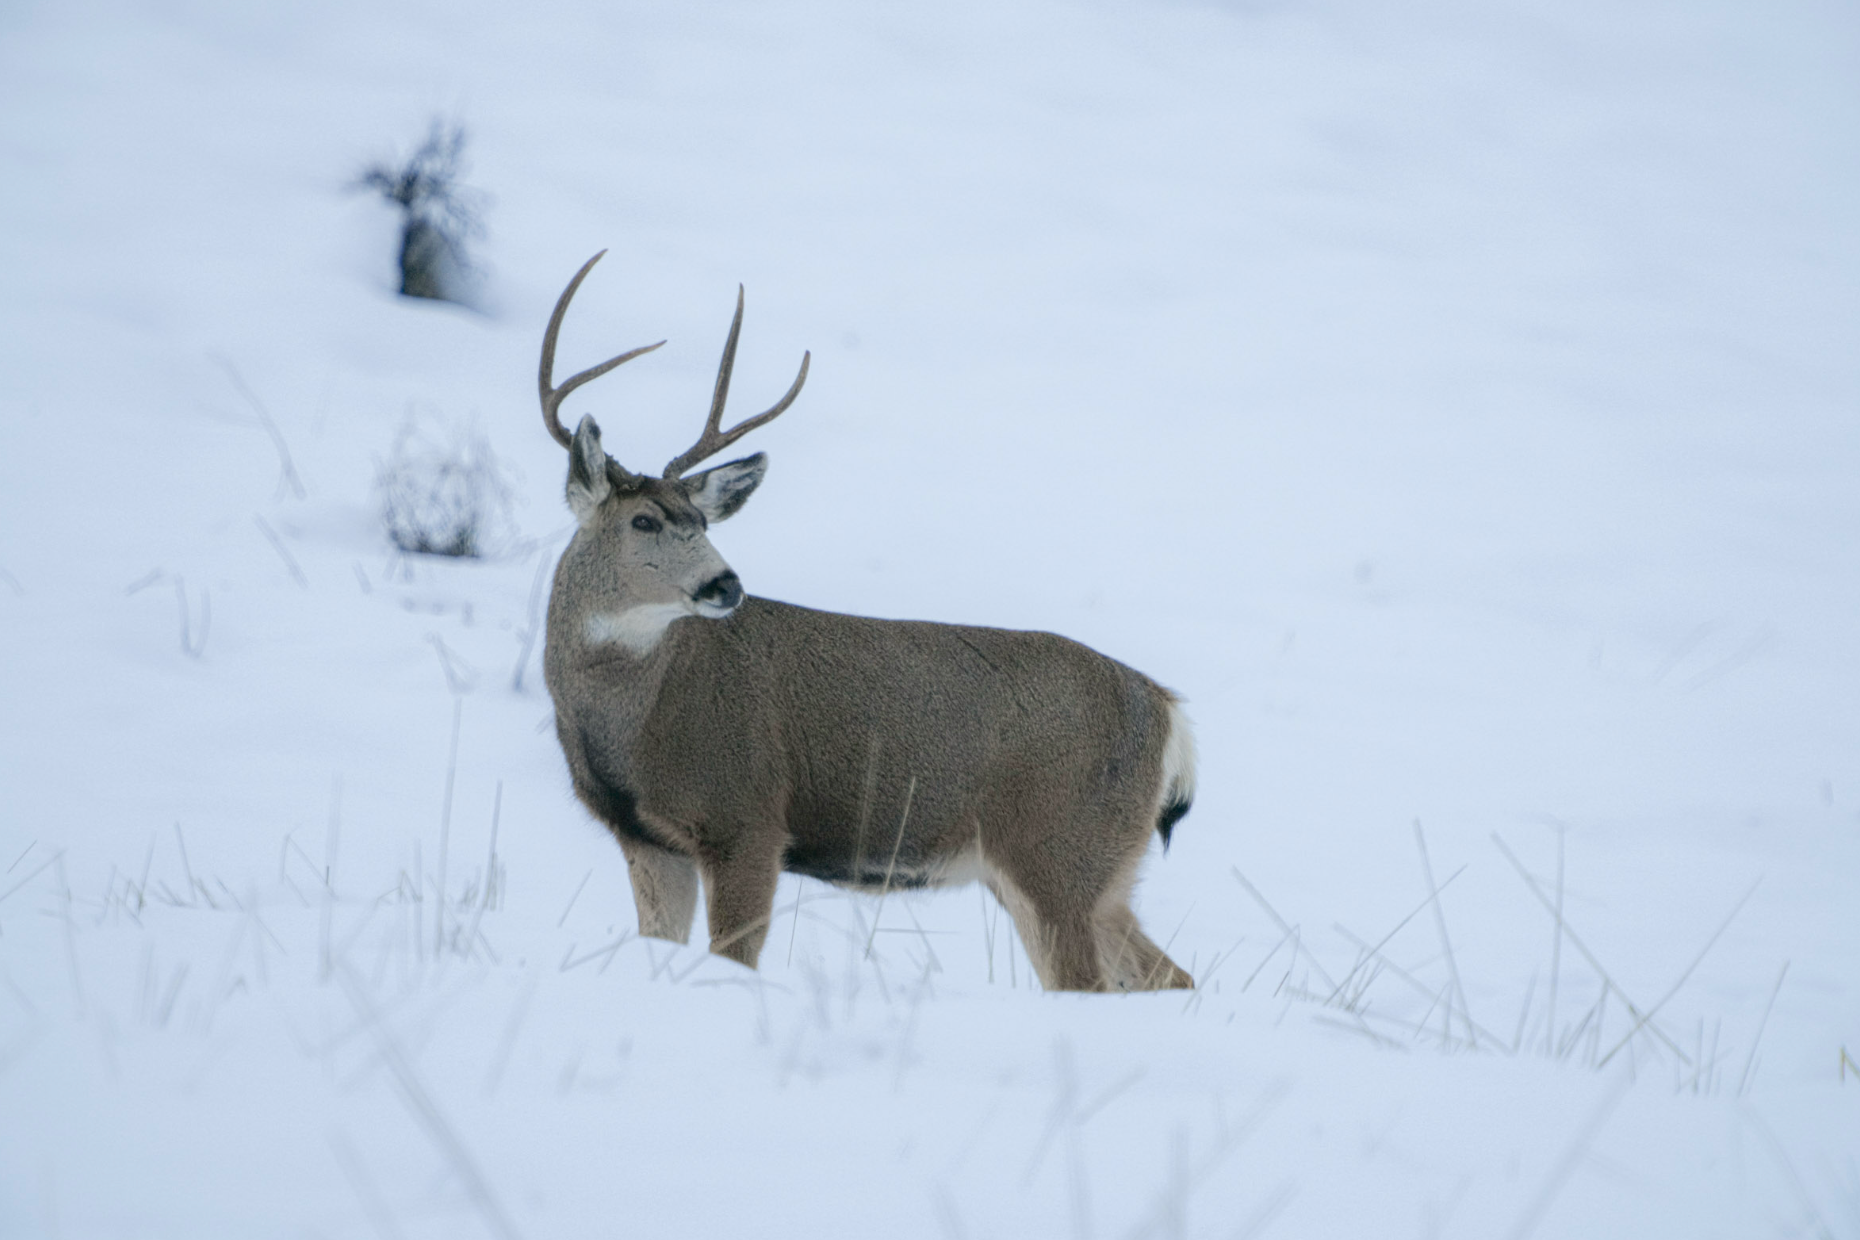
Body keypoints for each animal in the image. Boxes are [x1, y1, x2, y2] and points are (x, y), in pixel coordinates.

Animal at [539, 249, 1197, 989]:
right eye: (644, 521)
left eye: (701, 522)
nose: (725, 583)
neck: (632, 719)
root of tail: (1169, 711)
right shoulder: (647, 840)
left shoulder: (748, 819)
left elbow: (733, 960)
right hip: (1089, 871)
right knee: (1168, 976)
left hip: (1059, 851)